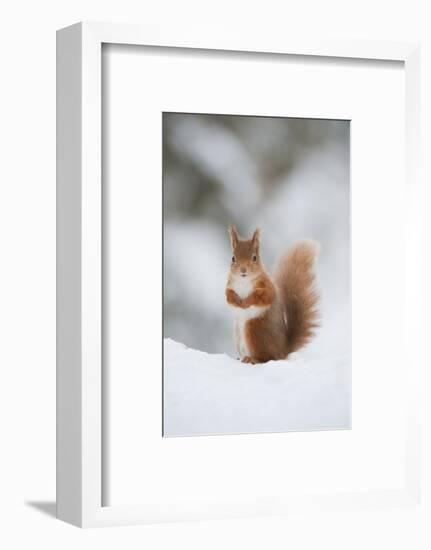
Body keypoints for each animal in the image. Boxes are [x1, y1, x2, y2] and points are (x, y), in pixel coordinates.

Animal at [226, 226, 320, 364]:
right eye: (233, 258)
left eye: (254, 258)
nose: (243, 270)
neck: (244, 281)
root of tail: (283, 351)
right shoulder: (229, 286)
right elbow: (229, 297)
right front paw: (238, 302)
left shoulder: (267, 287)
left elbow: (263, 297)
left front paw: (247, 302)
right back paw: (242, 358)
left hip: (253, 329)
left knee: (266, 358)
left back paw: (252, 359)